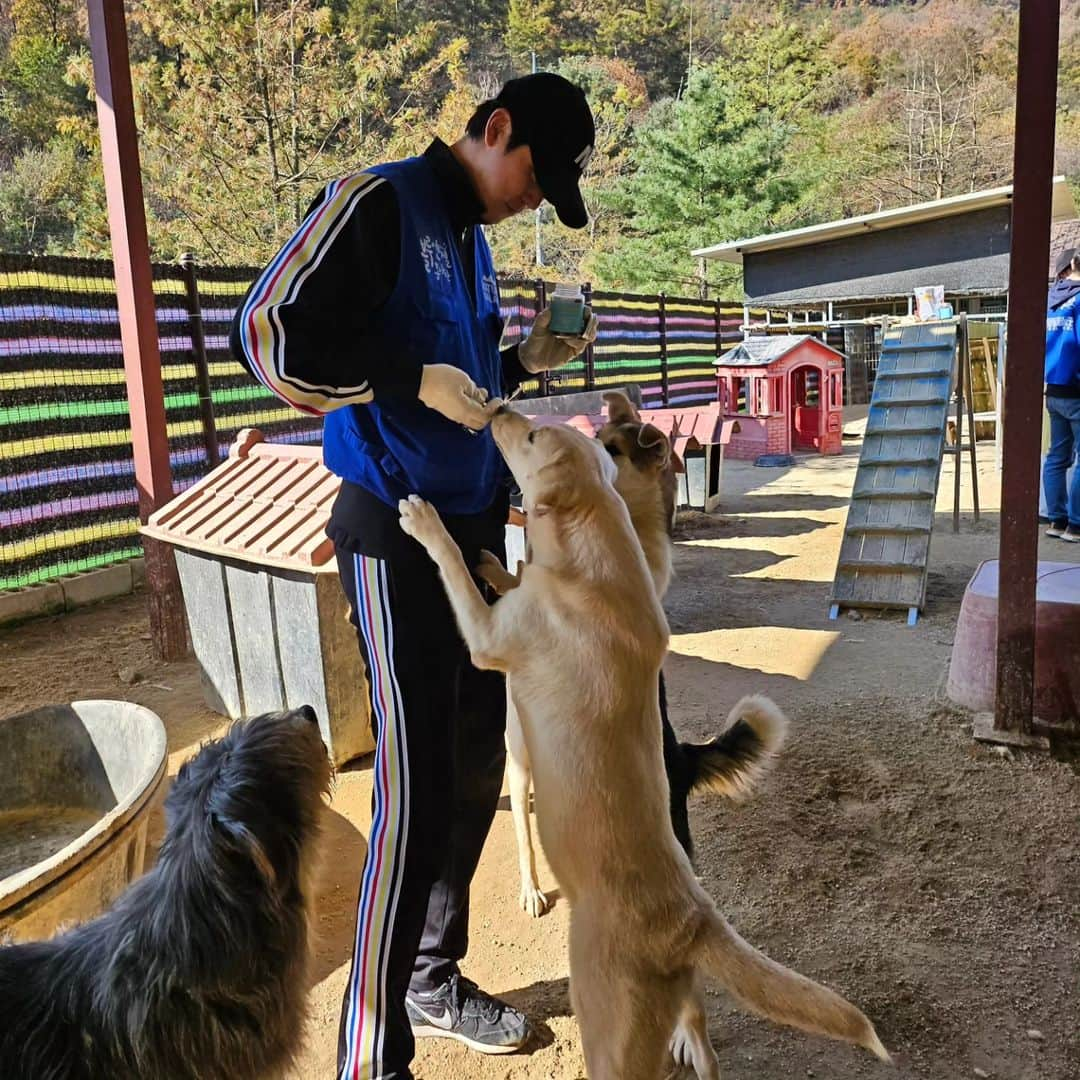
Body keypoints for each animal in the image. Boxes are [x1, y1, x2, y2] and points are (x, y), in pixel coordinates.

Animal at [397, 406, 885, 1080]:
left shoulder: (488, 636)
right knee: (703, 1041)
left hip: (607, 1029)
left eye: (530, 438)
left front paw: (427, 523)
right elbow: (510, 573)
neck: (596, 552)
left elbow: (454, 566)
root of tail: (692, 922)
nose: (497, 409)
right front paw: (498, 561)